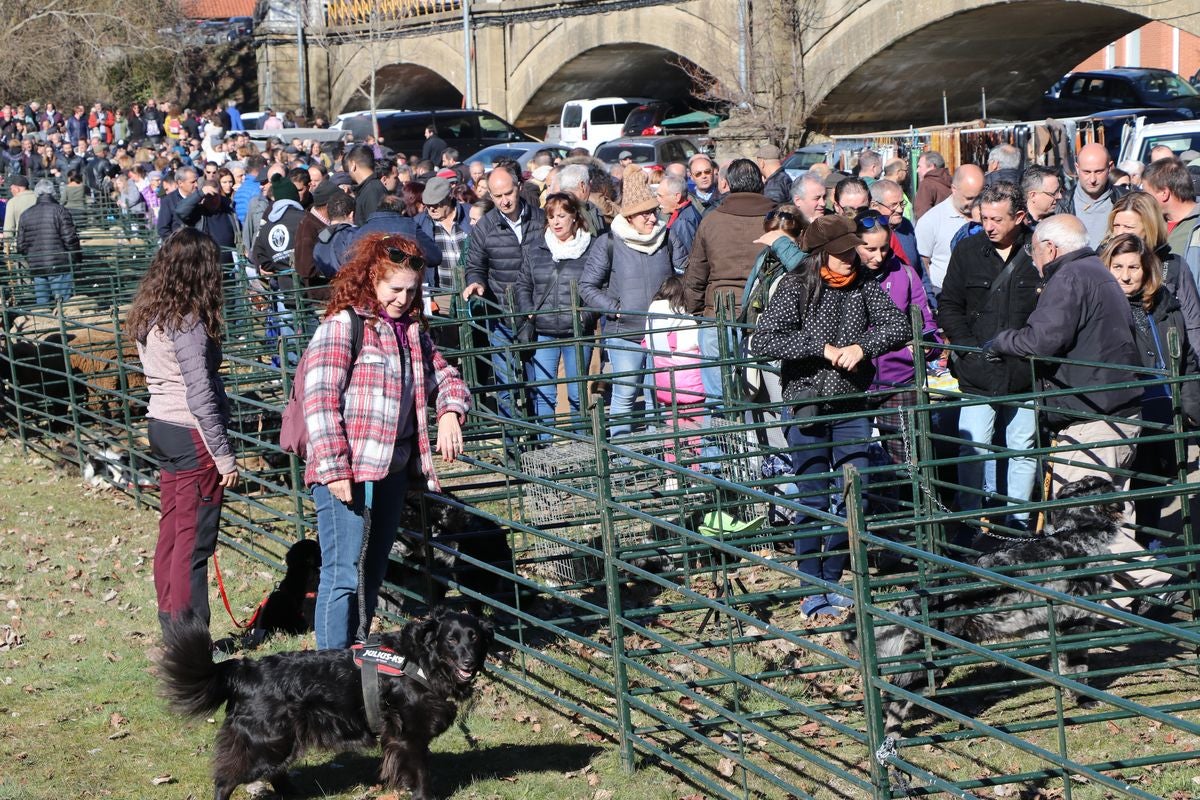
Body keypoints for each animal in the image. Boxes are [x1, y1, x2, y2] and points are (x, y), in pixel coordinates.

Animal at [844, 479, 1123, 734]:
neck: (1075, 537)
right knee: (897, 701)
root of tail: (913, 598)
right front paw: (1085, 700)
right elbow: (1078, 671)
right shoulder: (1077, 624)